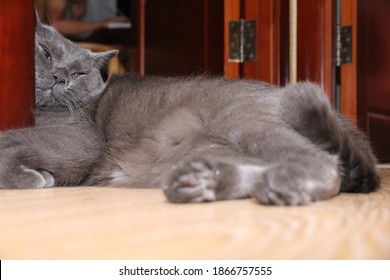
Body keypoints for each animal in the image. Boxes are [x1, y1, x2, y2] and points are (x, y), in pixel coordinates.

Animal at [0, 15, 380, 206]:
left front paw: (35, 178)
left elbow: (12, 142)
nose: (60, 77)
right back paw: (202, 184)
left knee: (325, 166)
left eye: (79, 73)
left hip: (244, 121)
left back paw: (282, 187)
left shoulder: (79, 142)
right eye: (46, 53)